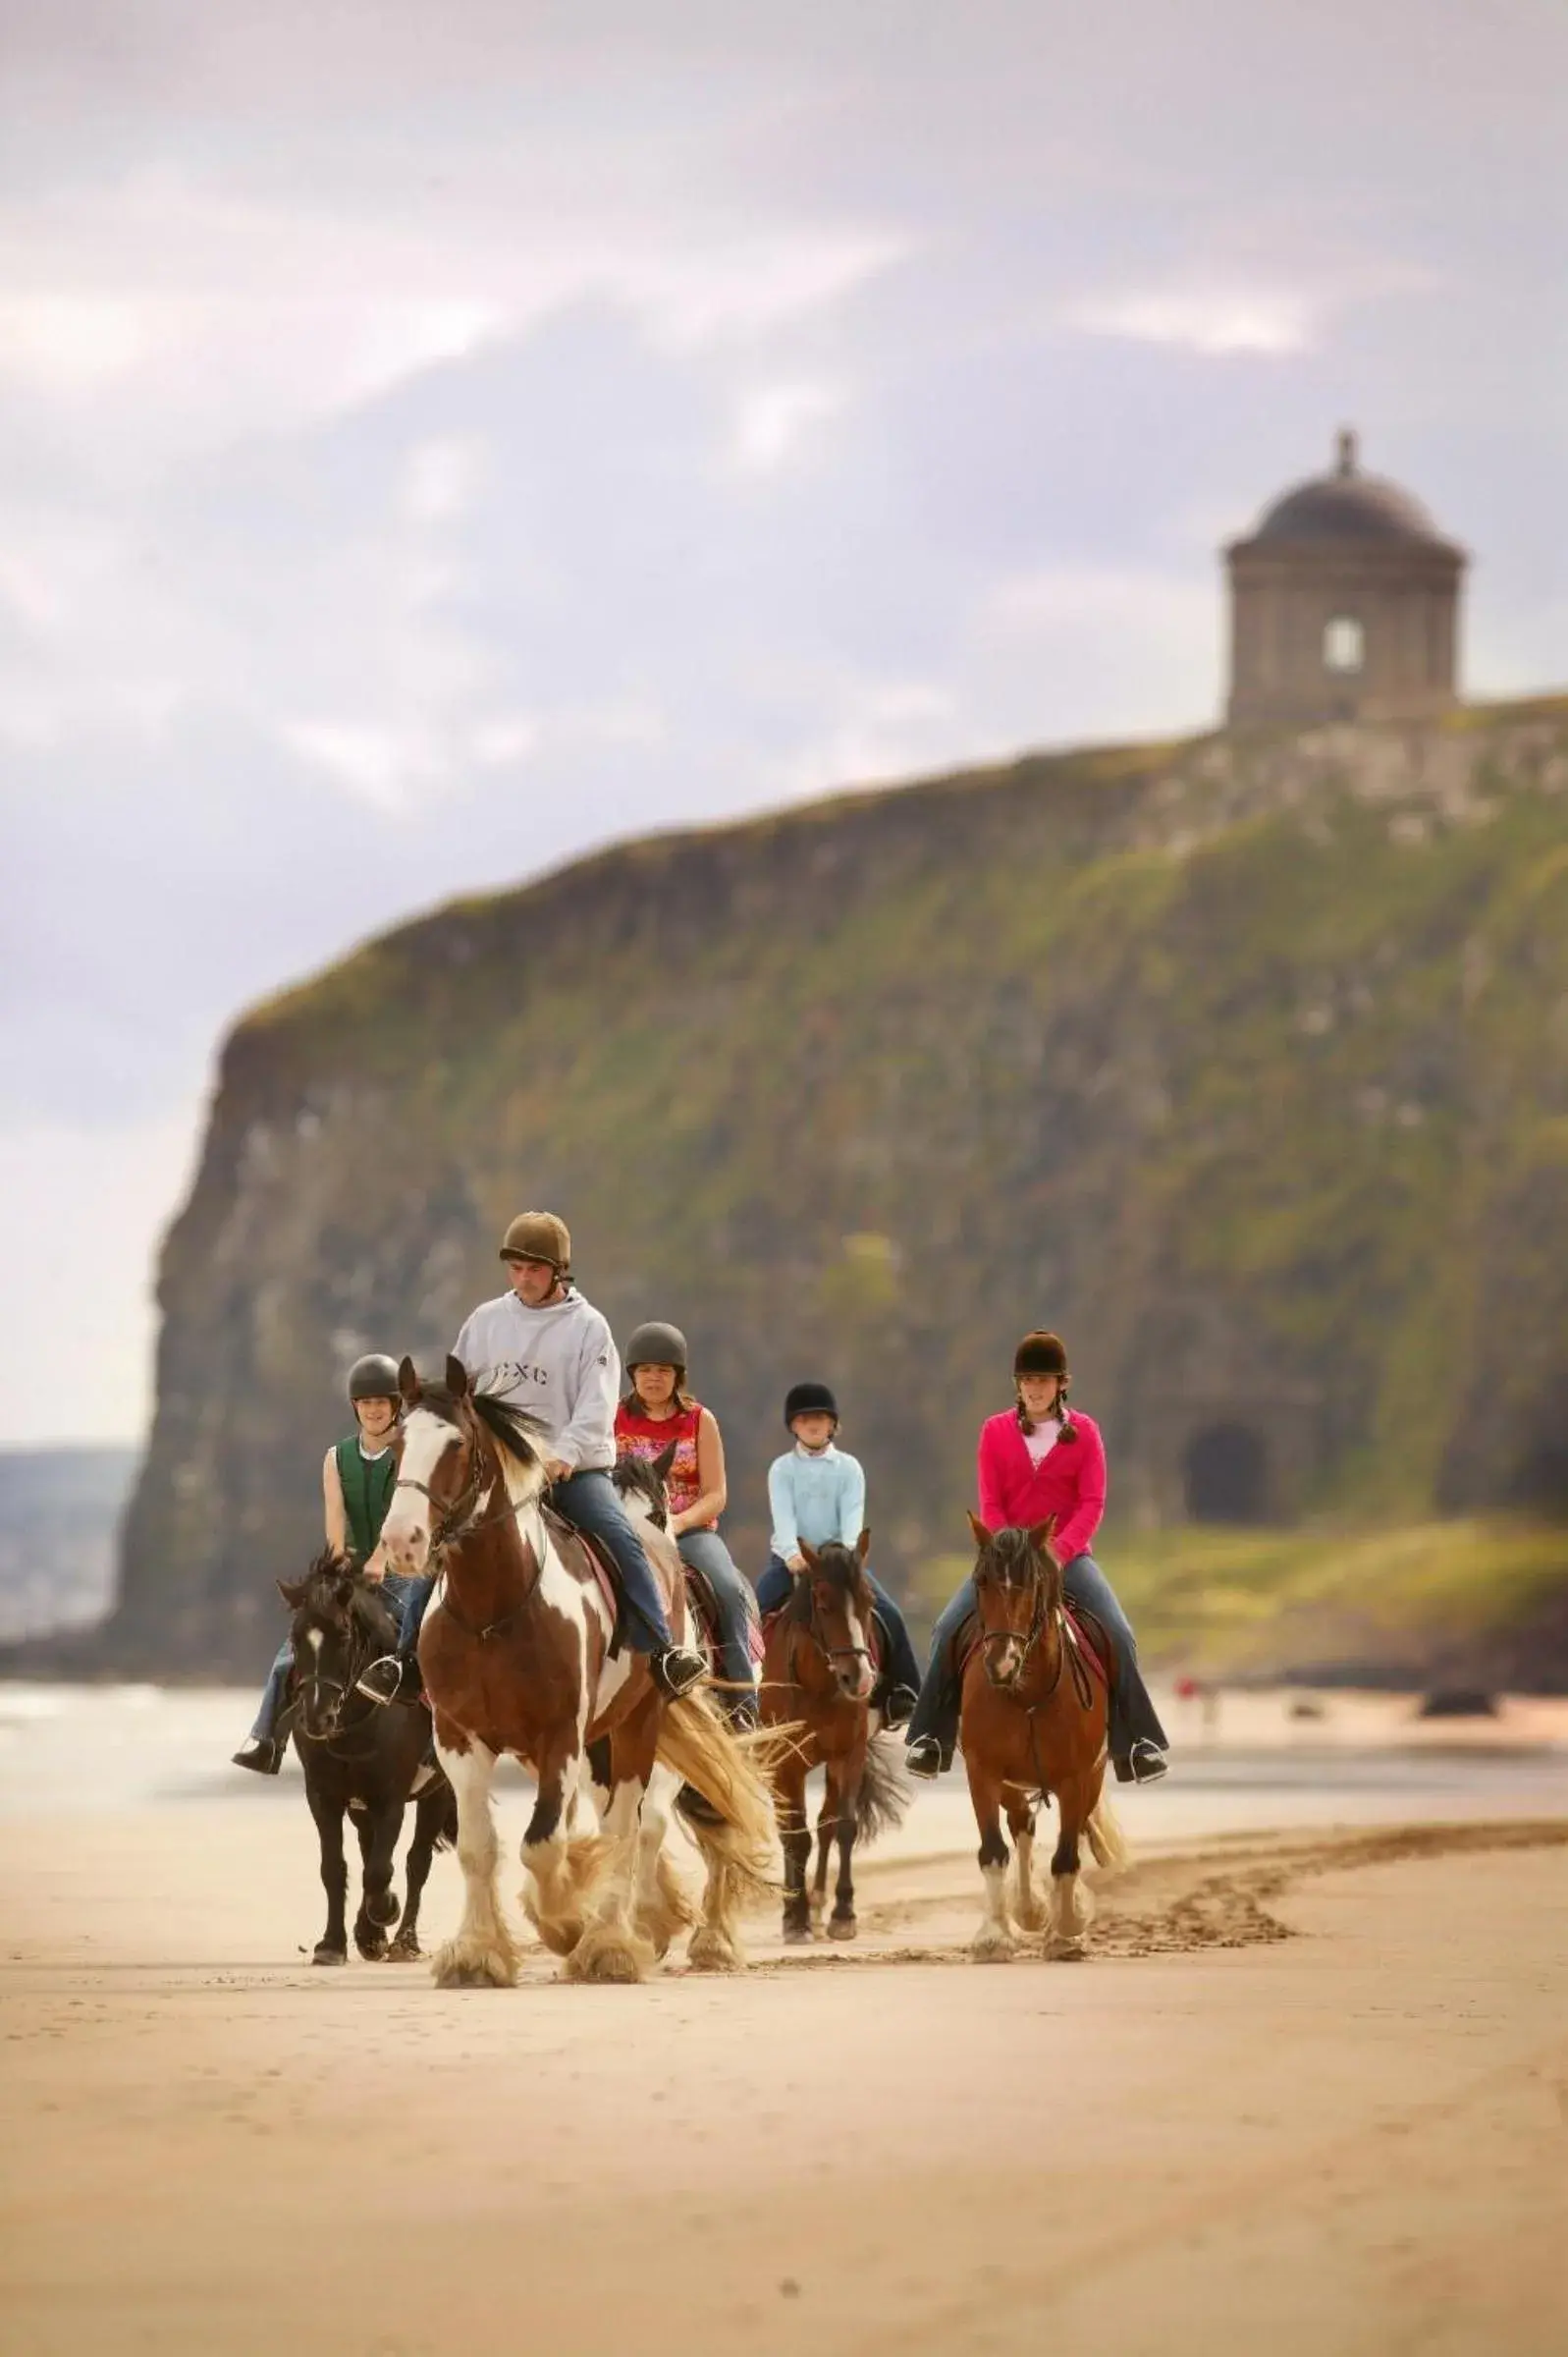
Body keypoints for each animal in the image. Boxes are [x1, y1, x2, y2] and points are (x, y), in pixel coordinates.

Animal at [279, 1546, 455, 1970]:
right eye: (295, 1638)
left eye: (343, 1636)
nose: (317, 1717)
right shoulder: (323, 1796)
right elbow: (335, 1868)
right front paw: (333, 1944)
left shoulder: (390, 1797)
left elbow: (381, 1870)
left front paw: (384, 1912)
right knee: (368, 1849)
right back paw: (371, 1936)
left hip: (437, 1791)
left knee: (415, 1862)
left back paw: (403, 1940)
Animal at [379, 1367, 768, 1989]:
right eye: (396, 1444)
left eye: (457, 1444)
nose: (402, 1541)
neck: (493, 1608)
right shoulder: (459, 1738)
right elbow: (479, 1847)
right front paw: (476, 1955)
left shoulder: (560, 1733)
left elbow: (544, 1843)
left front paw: (566, 1924)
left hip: (638, 1728)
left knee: (631, 1828)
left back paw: (618, 1944)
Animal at [754, 1536, 909, 1942]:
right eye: (823, 1605)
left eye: (869, 1602)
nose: (860, 1678)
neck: (819, 1685)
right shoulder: (787, 1763)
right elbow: (796, 1835)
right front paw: (796, 1920)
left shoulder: (848, 1754)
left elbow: (842, 1827)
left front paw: (843, 1913)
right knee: (790, 1830)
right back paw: (795, 1907)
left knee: (825, 1824)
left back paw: (819, 1902)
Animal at [952, 1517, 1126, 1960]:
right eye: (980, 1581)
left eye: (1029, 1584)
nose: (1001, 1663)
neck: (1026, 1693)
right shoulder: (983, 1773)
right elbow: (993, 1850)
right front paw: (994, 1935)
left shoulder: (1076, 1778)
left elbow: (1066, 1857)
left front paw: (1066, 1931)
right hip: (1012, 1785)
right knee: (1022, 1825)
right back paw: (1028, 1910)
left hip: (1089, 1780)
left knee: (1070, 1835)